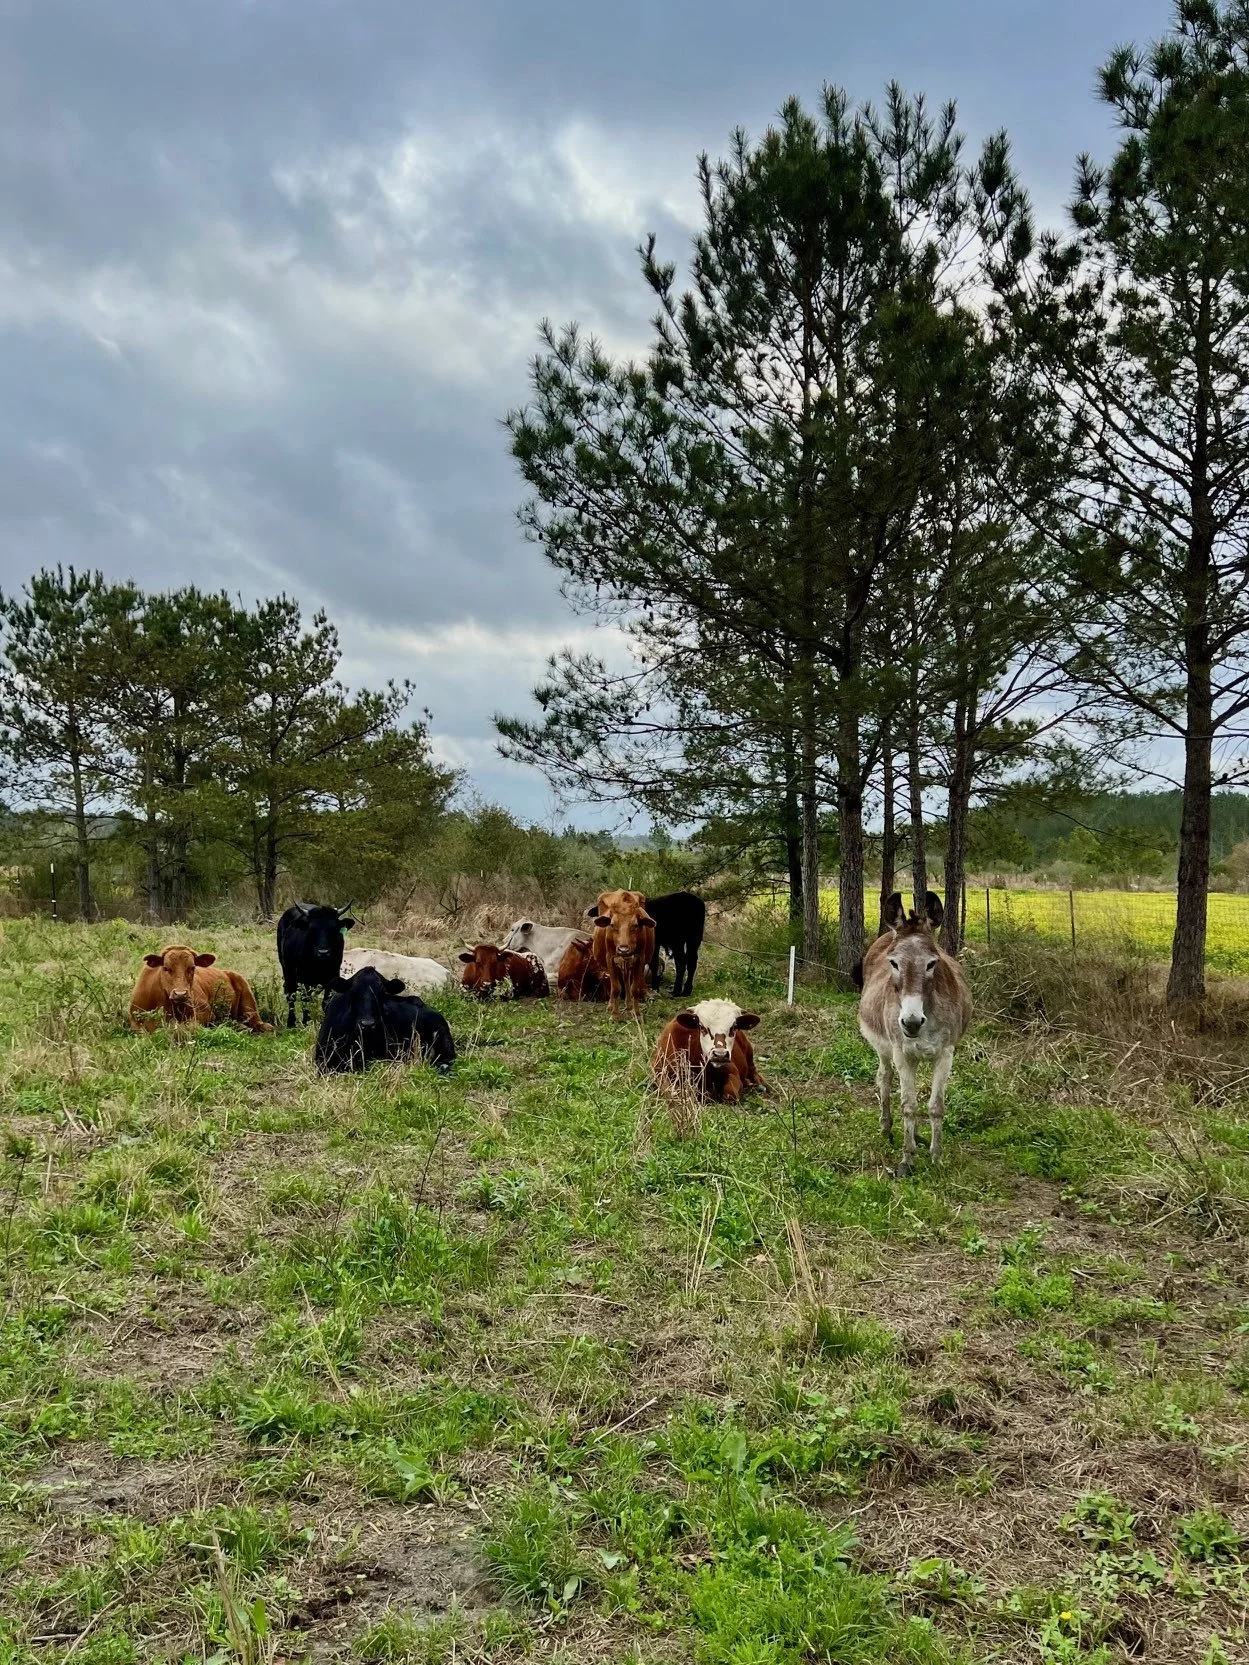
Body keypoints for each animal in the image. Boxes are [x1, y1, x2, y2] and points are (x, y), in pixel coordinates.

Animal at [129, 946, 273, 1035]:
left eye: (192, 967)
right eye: (165, 968)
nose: (180, 994)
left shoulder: (205, 1011)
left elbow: (191, 1026)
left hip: (249, 1003)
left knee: (259, 1022)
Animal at [585, 889, 655, 1019]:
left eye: (635, 925)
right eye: (612, 925)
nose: (623, 949)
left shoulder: (640, 959)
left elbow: (634, 988)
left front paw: (637, 1013)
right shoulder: (610, 959)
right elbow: (616, 988)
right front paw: (615, 1016)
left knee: (627, 980)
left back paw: (629, 1006)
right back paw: (611, 1005)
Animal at [857, 891, 973, 1177]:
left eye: (932, 963)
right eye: (894, 963)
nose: (911, 1023)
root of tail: (887, 935)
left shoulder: (945, 1054)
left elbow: (935, 1107)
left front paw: (936, 1157)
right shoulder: (902, 1054)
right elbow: (908, 1106)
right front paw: (907, 1160)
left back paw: (919, 1136)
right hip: (885, 1049)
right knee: (884, 1078)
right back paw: (886, 1127)